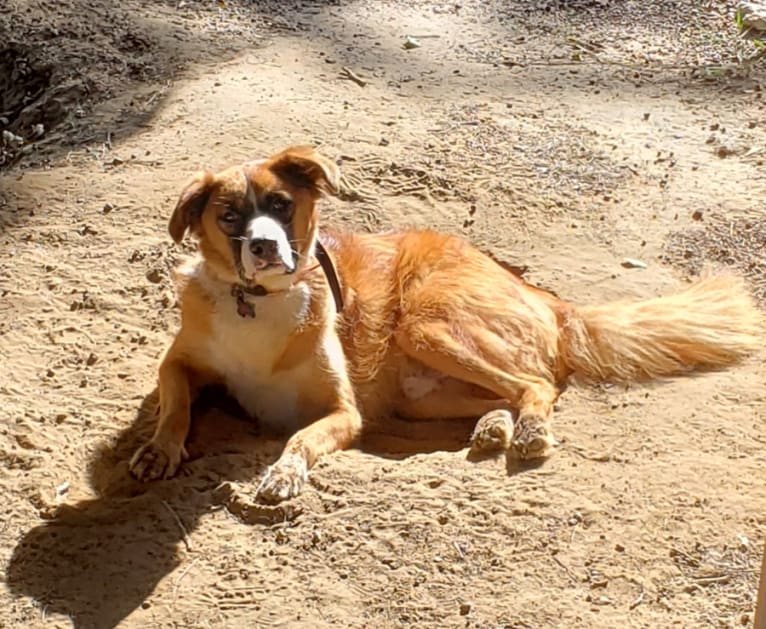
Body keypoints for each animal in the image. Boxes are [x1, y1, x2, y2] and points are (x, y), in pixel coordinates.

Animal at [129, 145, 764, 502]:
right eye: (230, 216)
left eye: (282, 205)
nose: (263, 247)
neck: (258, 303)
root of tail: (547, 298)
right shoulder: (177, 361)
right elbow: (176, 401)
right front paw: (160, 448)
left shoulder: (344, 412)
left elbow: (300, 437)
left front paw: (283, 474)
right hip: (421, 392)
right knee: (510, 392)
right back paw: (495, 426)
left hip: (424, 325)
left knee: (537, 384)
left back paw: (526, 431)